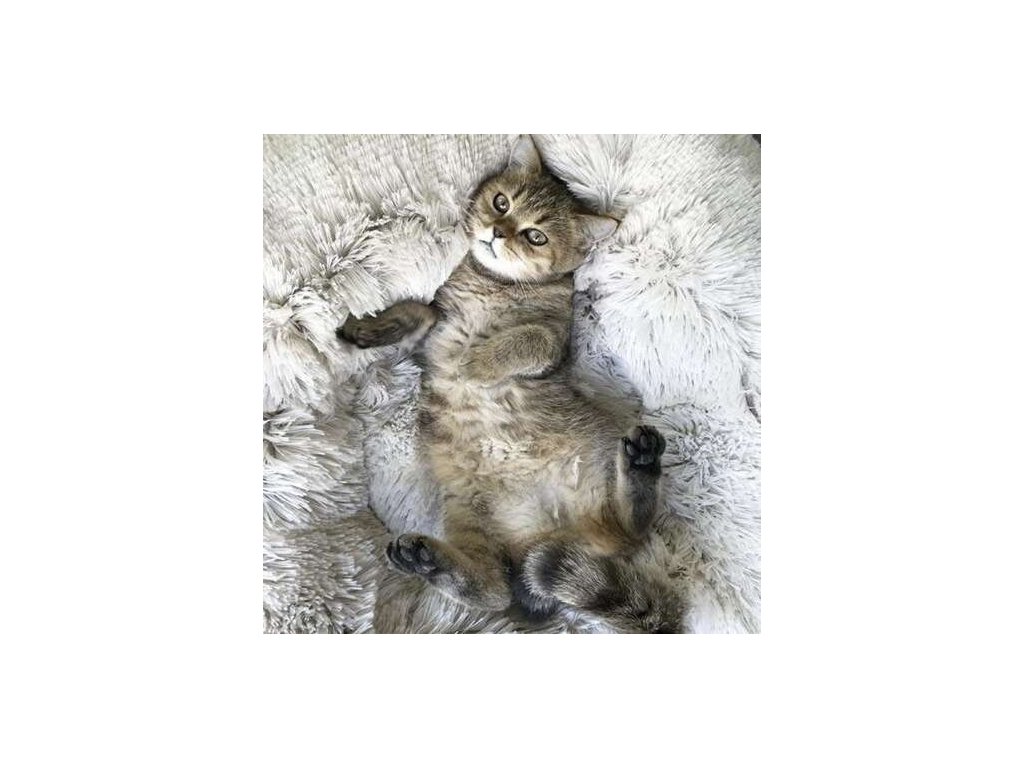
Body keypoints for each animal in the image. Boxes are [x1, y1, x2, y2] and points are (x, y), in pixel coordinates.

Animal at [339, 135, 684, 633]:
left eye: (535, 236)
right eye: (501, 203)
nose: (498, 232)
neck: (494, 285)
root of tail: (546, 532)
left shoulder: (553, 341)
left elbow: (523, 339)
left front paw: (475, 363)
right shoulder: (433, 332)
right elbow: (416, 311)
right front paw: (367, 330)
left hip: (599, 474)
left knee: (630, 530)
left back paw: (641, 463)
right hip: (467, 514)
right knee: (493, 589)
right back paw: (427, 561)